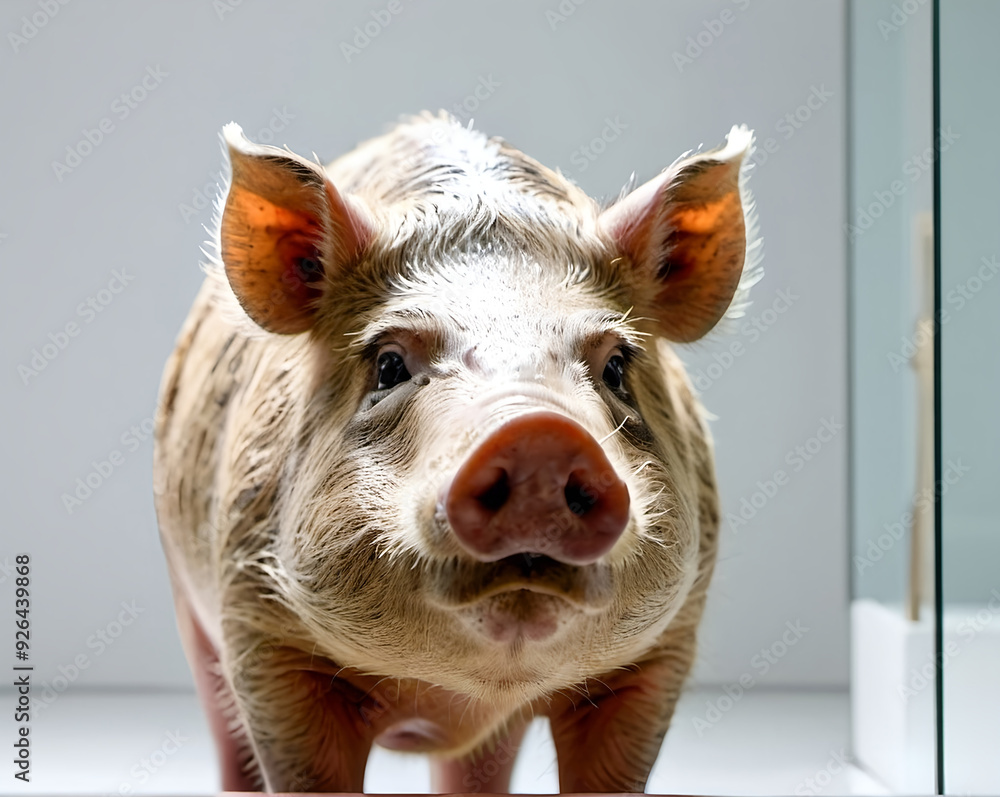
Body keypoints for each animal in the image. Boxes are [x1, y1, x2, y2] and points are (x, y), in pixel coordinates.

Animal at [153, 111, 760, 793]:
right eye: (389, 364)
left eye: (615, 366)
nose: (538, 434)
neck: (471, 691)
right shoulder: (259, 631)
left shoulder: (665, 648)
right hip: (187, 601)